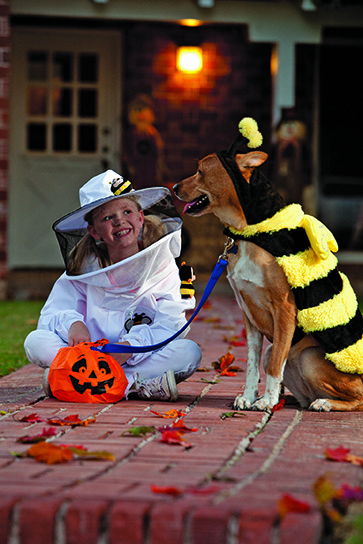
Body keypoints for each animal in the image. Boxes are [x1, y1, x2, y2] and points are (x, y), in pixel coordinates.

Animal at [174, 149, 363, 412]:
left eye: (200, 171)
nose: (173, 187)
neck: (249, 235)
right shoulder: (249, 316)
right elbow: (252, 366)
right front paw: (249, 397)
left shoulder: (284, 310)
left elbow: (275, 366)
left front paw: (266, 401)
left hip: (309, 358)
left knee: (357, 399)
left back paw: (324, 403)